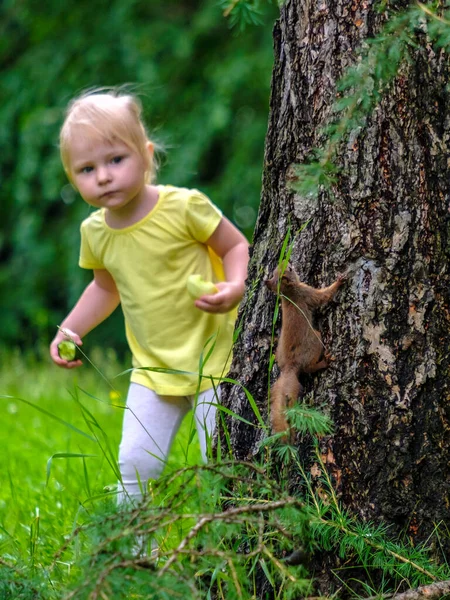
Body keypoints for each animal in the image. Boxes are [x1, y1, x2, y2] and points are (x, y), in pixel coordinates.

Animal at [264, 262, 344, 440]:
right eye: (290, 270)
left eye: (275, 271)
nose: (290, 263)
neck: (288, 294)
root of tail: (289, 367)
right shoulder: (307, 293)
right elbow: (323, 296)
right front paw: (338, 282)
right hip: (315, 340)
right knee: (309, 367)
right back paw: (323, 362)